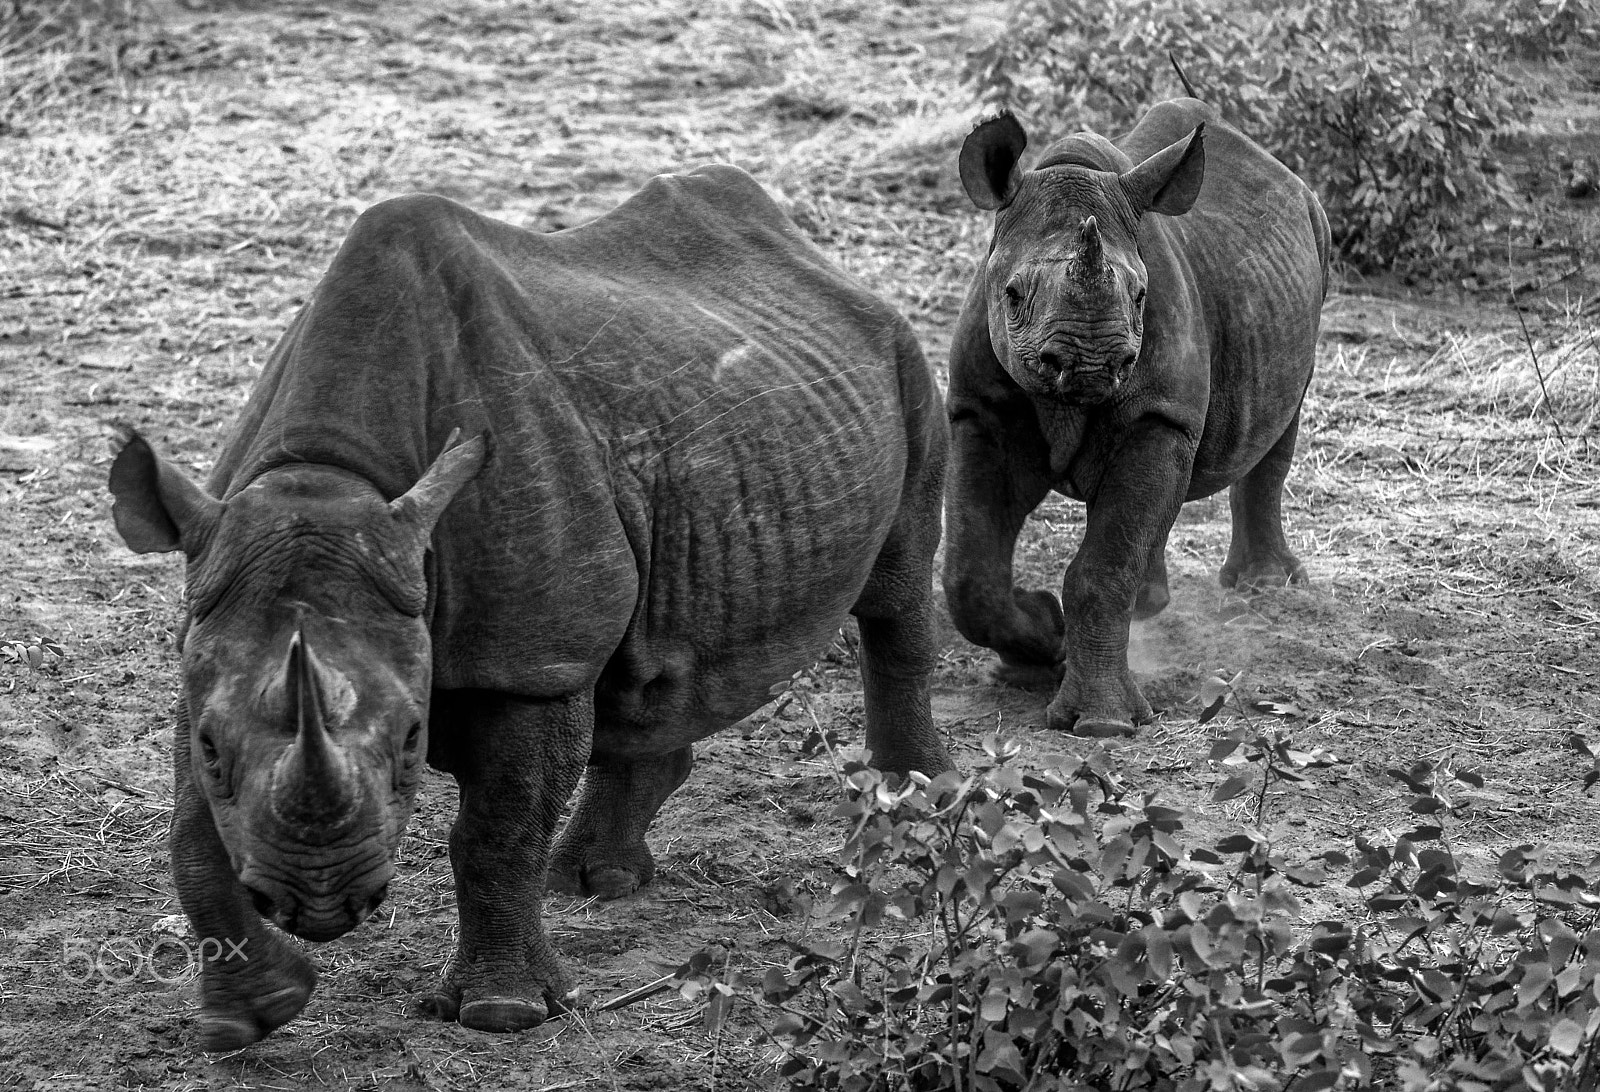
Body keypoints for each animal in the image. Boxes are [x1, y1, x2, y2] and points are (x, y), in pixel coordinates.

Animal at [109, 164, 947, 1043]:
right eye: (212, 746)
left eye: (411, 741)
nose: (319, 903)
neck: (328, 476)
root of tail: (813, 255)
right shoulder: (211, 630)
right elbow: (192, 832)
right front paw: (245, 1018)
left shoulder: (530, 661)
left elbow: (496, 828)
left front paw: (501, 1014)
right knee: (648, 663)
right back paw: (593, 881)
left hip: (902, 358)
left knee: (897, 583)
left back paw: (914, 800)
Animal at [940, 100, 1331, 730]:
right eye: (1013, 294)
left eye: (1142, 296)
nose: (1092, 360)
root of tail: (1282, 171)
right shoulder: (980, 408)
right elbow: (970, 574)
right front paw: (1040, 646)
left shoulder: (1160, 415)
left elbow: (1104, 565)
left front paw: (1103, 723)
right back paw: (1152, 604)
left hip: (1317, 244)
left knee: (1280, 424)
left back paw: (1264, 588)